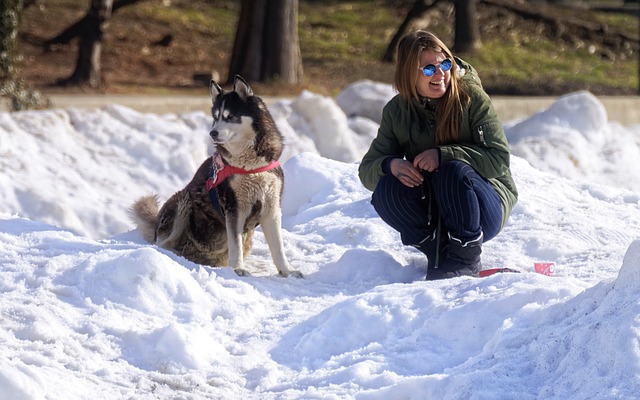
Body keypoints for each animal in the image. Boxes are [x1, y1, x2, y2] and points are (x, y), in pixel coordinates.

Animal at [131, 75, 302, 276]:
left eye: (230, 117)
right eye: (215, 117)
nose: (212, 133)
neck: (250, 167)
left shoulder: (271, 207)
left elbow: (278, 247)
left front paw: (287, 270)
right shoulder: (234, 208)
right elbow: (235, 244)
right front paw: (238, 268)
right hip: (182, 201)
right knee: (162, 244)